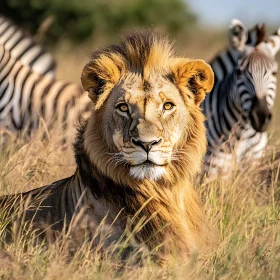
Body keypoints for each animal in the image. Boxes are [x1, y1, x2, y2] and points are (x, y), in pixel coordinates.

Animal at [203, 19, 280, 177]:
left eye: (274, 73)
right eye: (239, 72)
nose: (260, 117)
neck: (242, 134)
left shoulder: (253, 167)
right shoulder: (212, 170)